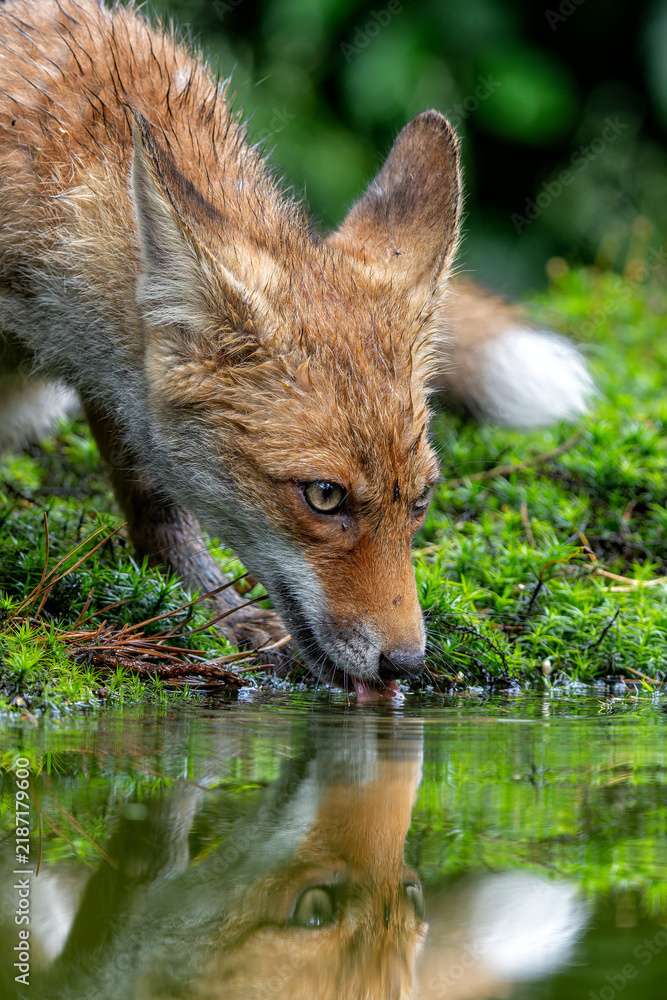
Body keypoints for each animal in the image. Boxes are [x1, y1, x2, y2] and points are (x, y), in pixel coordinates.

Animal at [0, 0, 594, 699]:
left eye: (420, 500)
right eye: (324, 496)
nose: (406, 666)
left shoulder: (120, 390)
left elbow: (157, 503)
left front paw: (216, 613)